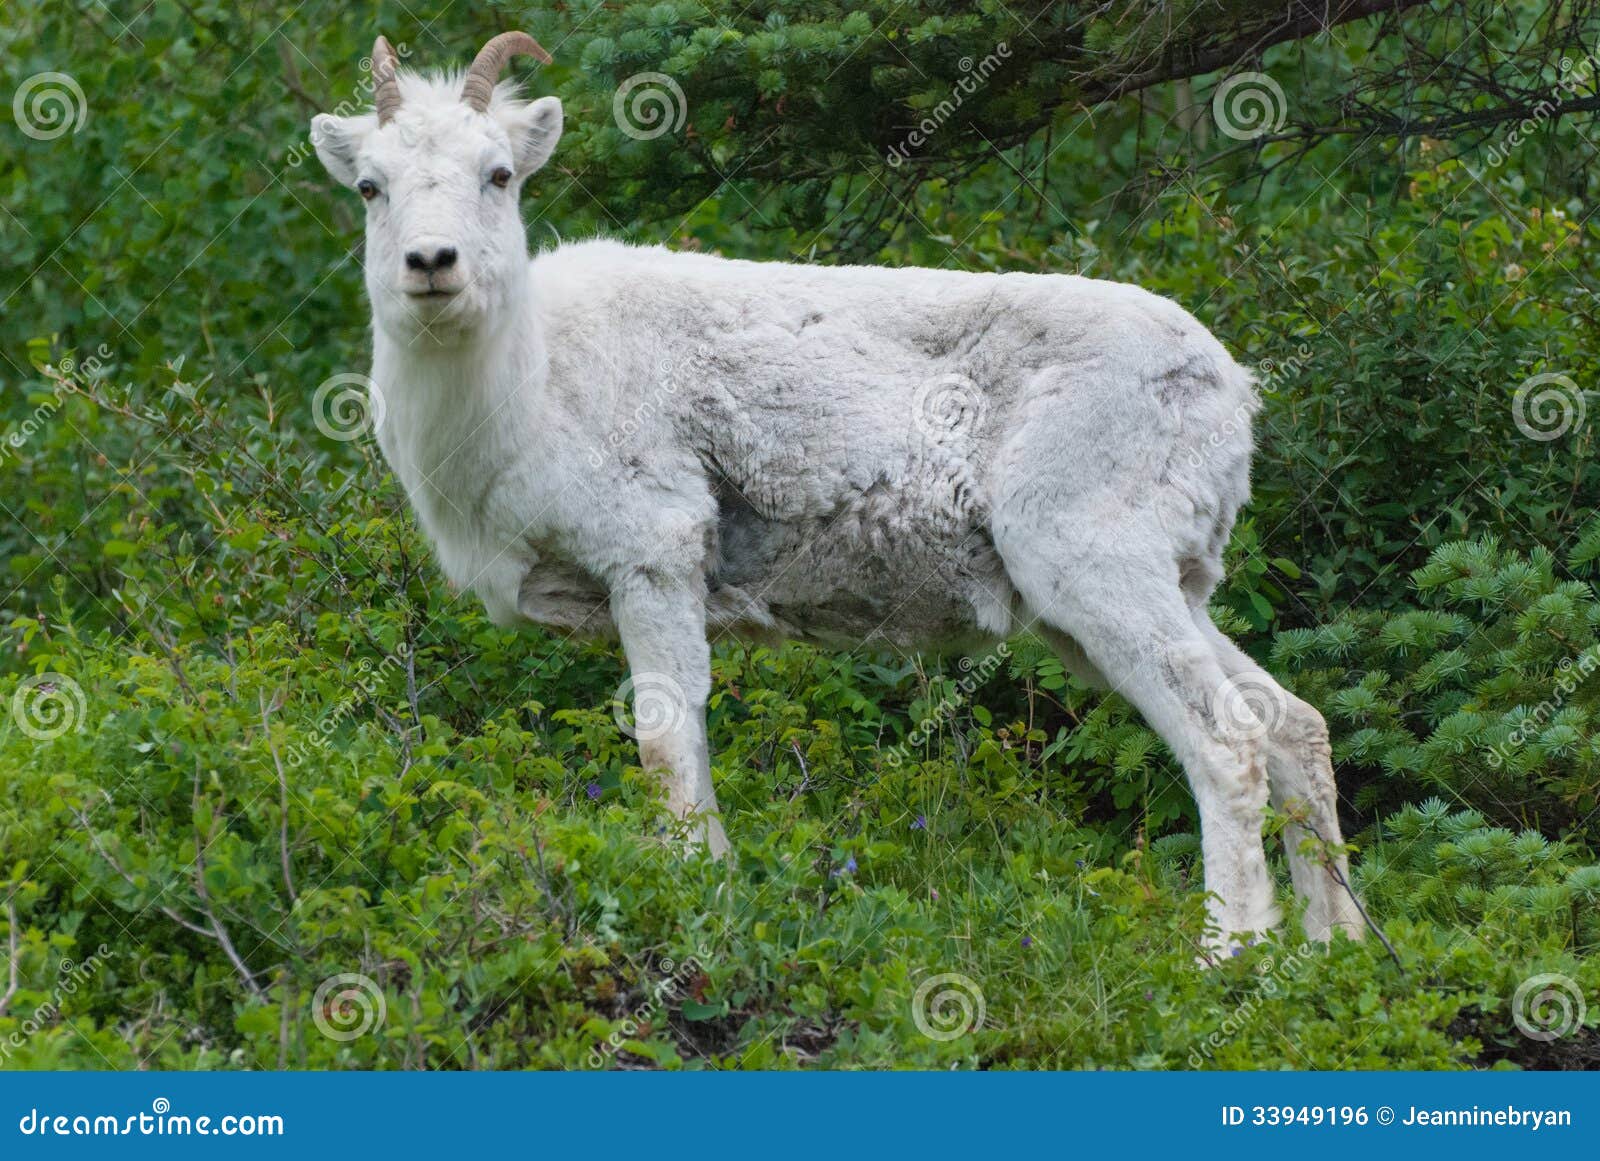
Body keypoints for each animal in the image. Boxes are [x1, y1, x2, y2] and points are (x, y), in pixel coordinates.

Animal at [308, 31, 1363, 953]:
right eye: (369, 186)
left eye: (498, 175)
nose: (431, 265)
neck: (529, 385)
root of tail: (1229, 387)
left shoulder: (652, 558)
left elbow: (663, 746)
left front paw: (694, 896)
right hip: (1156, 591)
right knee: (1292, 727)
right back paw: (1334, 948)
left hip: (1102, 573)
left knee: (1228, 744)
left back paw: (1227, 956)